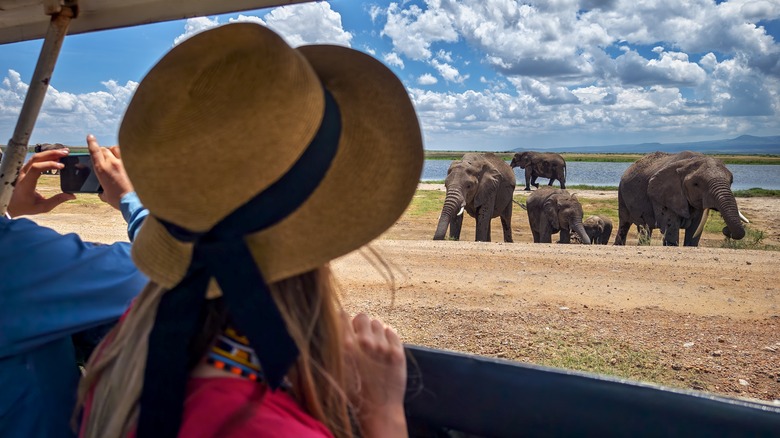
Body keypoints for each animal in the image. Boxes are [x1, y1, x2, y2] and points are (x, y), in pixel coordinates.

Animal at [616, 151, 748, 246]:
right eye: (696, 184)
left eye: (731, 181)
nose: (726, 230)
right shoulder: (662, 195)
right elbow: (670, 228)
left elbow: (695, 231)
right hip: (621, 194)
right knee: (625, 224)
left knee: (645, 228)